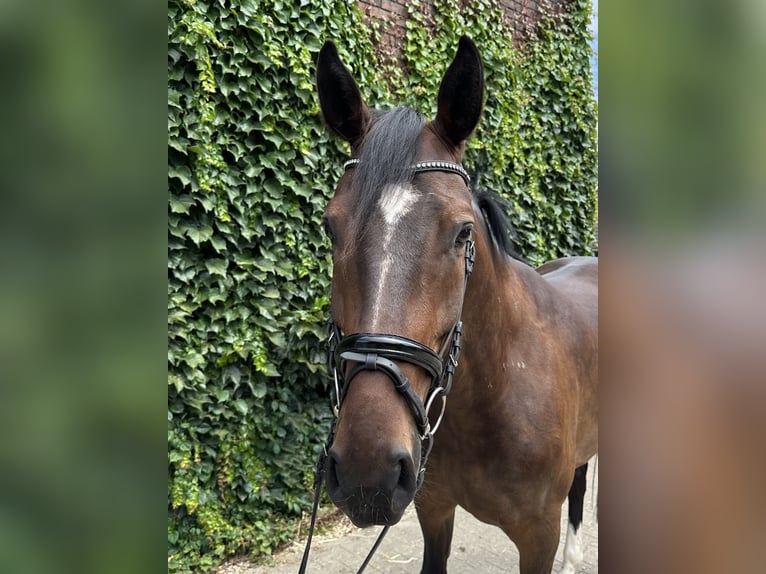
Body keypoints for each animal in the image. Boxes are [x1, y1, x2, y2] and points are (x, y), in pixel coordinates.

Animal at [314, 36, 598, 574]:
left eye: (463, 232)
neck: (494, 390)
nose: (367, 469)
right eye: (330, 227)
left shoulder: (539, 537)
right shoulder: (434, 509)